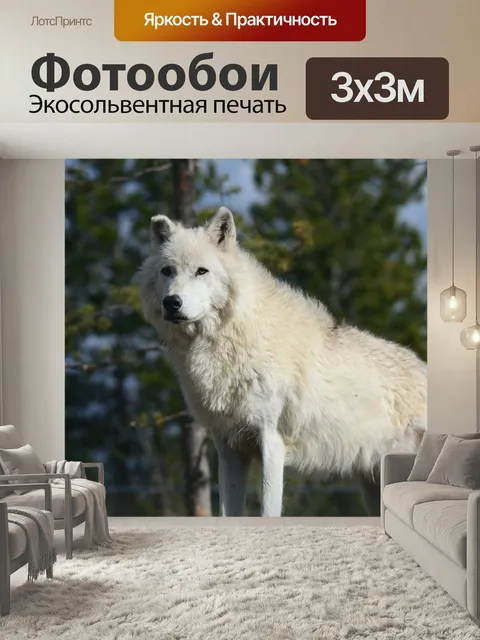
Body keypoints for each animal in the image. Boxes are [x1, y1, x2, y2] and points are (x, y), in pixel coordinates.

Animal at [139, 207, 427, 517]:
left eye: (201, 271)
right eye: (167, 271)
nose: (172, 302)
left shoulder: (271, 442)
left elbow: (268, 512)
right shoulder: (229, 449)